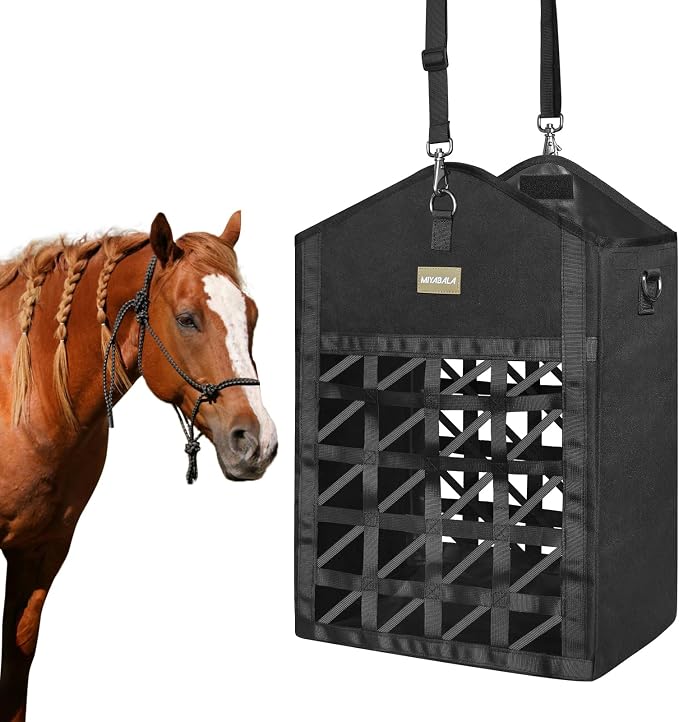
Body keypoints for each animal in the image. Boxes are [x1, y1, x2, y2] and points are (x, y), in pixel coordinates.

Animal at [0, 211, 277, 722]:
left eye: (251, 315)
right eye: (187, 319)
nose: (258, 441)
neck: (22, 393)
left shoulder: (42, 551)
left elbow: (16, 668)